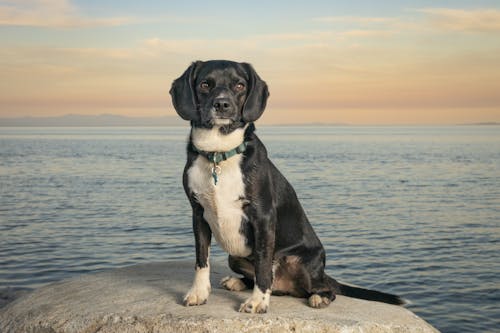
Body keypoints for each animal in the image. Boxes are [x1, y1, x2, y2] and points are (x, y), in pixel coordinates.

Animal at [168, 59, 402, 312]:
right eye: (204, 84)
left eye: (239, 85)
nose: (222, 104)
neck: (218, 153)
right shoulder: (199, 214)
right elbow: (202, 260)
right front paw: (198, 293)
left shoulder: (263, 217)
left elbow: (262, 264)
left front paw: (257, 302)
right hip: (235, 257)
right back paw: (238, 283)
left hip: (302, 264)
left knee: (322, 288)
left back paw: (318, 297)